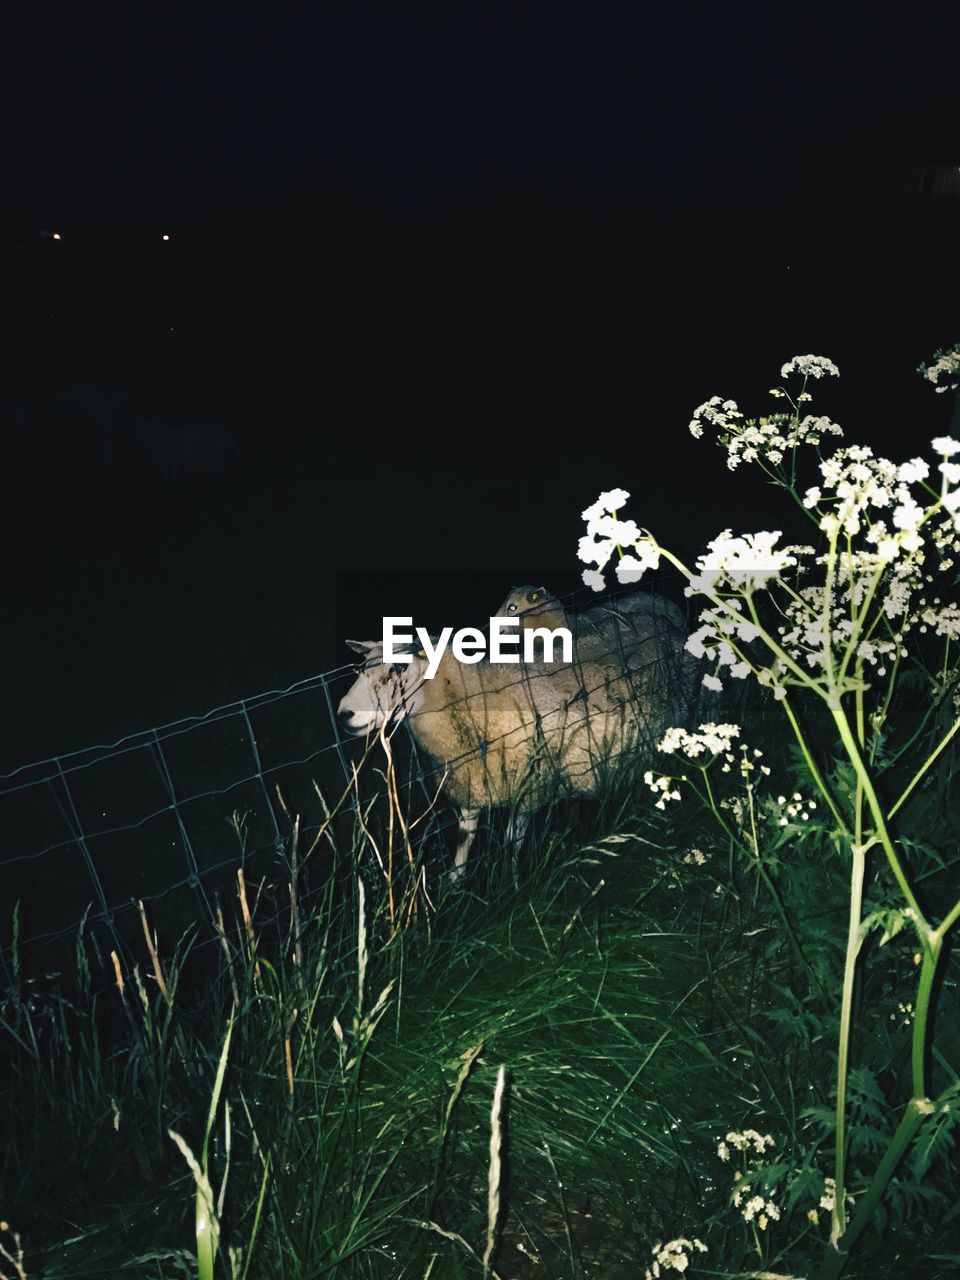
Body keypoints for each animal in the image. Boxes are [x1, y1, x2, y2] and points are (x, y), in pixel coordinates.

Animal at [343, 588, 696, 880]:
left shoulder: (530, 788)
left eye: (400, 668)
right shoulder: (471, 786)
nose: (344, 714)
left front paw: (510, 880)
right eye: (359, 670)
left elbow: (512, 844)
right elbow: (463, 844)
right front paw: (453, 888)